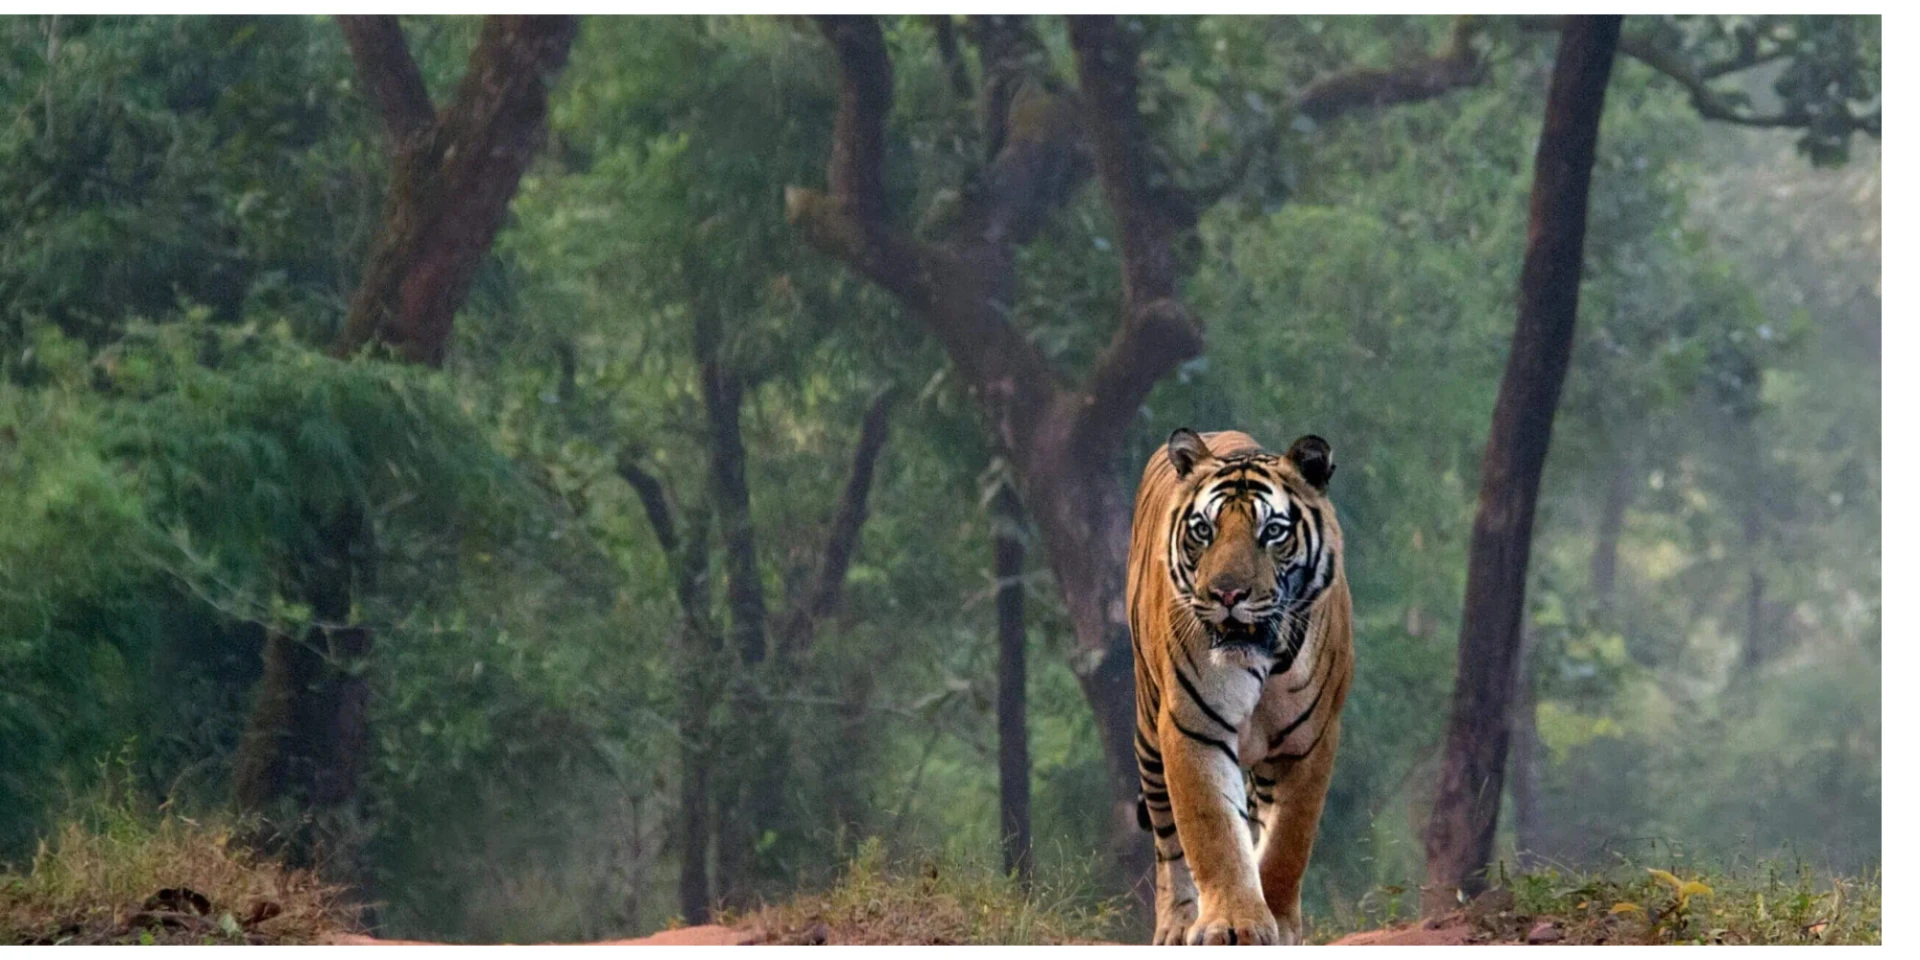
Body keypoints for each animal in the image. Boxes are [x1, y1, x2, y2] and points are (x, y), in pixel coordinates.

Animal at [1126, 428, 1353, 945]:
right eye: (1203, 531)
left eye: (1272, 532)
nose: (1226, 594)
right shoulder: (1194, 727)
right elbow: (1213, 832)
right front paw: (1232, 923)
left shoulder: (1310, 742)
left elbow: (1288, 841)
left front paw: (1279, 924)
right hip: (1149, 730)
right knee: (1169, 842)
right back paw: (1177, 924)